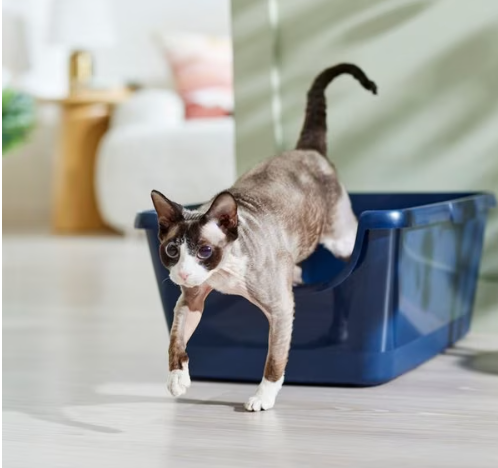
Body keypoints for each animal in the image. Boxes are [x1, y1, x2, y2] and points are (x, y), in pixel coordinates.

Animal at [152, 64, 378, 412]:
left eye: (205, 250)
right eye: (172, 251)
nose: (184, 274)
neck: (225, 271)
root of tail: (306, 150)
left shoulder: (281, 310)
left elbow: (275, 360)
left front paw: (263, 397)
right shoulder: (190, 300)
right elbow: (175, 340)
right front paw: (178, 379)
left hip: (342, 241)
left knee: (345, 283)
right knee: (300, 271)